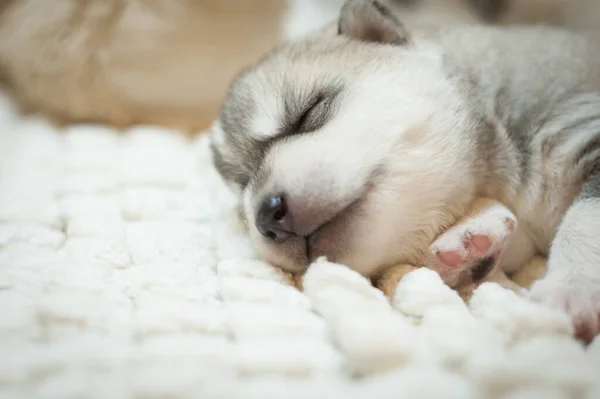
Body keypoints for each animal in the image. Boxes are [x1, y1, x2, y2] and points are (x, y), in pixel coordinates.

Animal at [210, 0, 600, 344]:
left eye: (306, 114)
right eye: (243, 187)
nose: (266, 215)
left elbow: (583, 219)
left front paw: (570, 289)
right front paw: (472, 238)